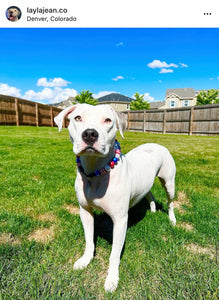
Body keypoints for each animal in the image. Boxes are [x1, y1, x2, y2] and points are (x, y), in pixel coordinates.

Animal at [54, 104, 176, 292]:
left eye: (108, 120)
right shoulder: (85, 212)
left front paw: (112, 279)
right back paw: (153, 208)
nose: (90, 133)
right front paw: (85, 260)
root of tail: (156, 143)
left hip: (169, 183)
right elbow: (89, 241)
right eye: (77, 118)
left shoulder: (120, 220)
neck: (95, 172)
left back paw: (172, 219)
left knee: (170, 202)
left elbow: (114, 255)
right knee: (149, 193)